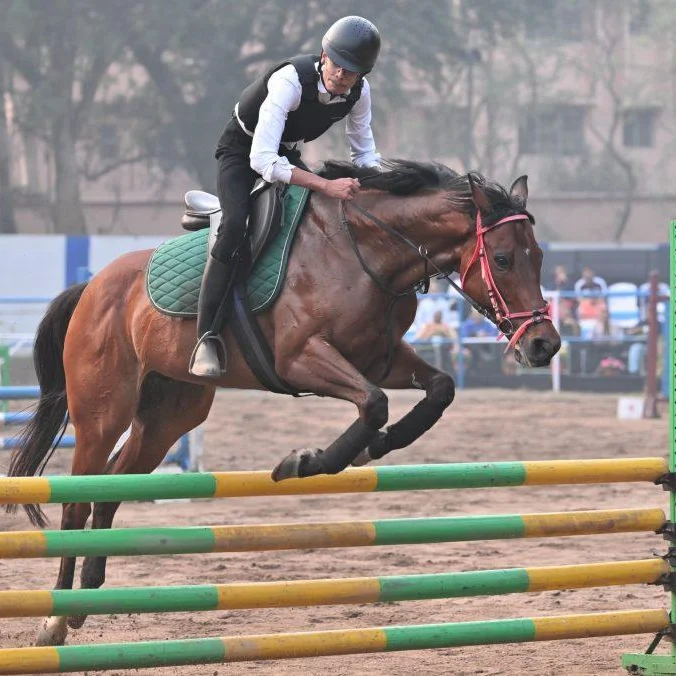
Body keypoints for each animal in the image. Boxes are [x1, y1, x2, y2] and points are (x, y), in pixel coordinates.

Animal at [6, 159, 560, 645]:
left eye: (539, 257)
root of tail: (92, 286)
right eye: (504, 259)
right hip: (103, 413)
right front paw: (307, 461)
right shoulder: (301, 358)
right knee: (77, 500)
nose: (544, 346)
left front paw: (372, 449)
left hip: (169, 415)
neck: (367, 252)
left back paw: (84, 603)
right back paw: (55, 620)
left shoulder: (381, 358)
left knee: (111, 490)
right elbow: (373, 404)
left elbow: (438, 389)